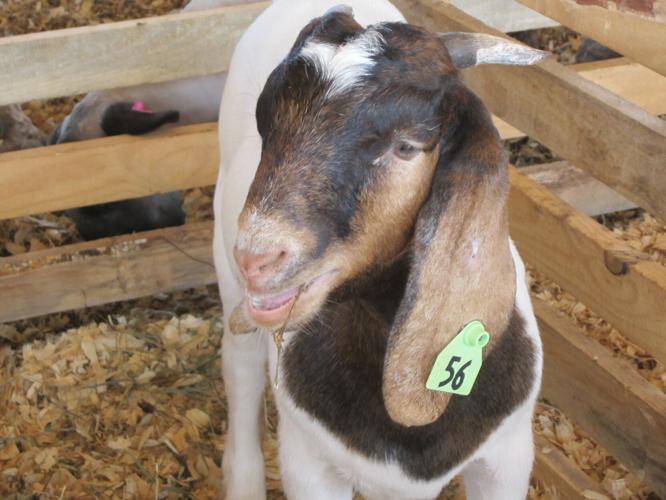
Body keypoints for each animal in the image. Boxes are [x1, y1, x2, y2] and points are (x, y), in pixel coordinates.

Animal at [213, 2, 547, 498]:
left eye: (406, 146)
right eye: (264, 122)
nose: (256, 257)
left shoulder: (507, 459)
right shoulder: (307, 462)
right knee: (240, 370)